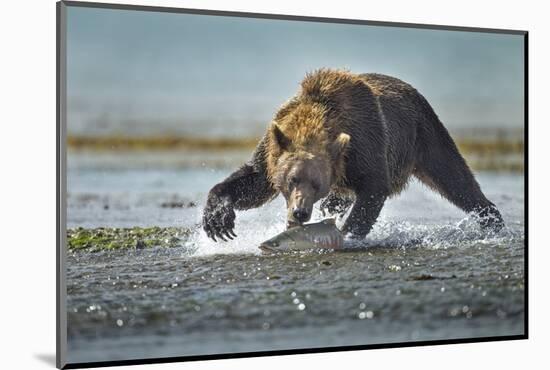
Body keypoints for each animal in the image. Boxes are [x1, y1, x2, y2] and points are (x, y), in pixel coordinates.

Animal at [202, 69, 504, 241]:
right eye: (292, 180)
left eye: (316, 183)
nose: (300, 212)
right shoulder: (273, 147)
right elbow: (255, 182)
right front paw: (217, 219)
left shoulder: (363, 145)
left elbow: (374, 187)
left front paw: (347, 234)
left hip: (424, 133)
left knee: (454, 178)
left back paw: (491, 219)